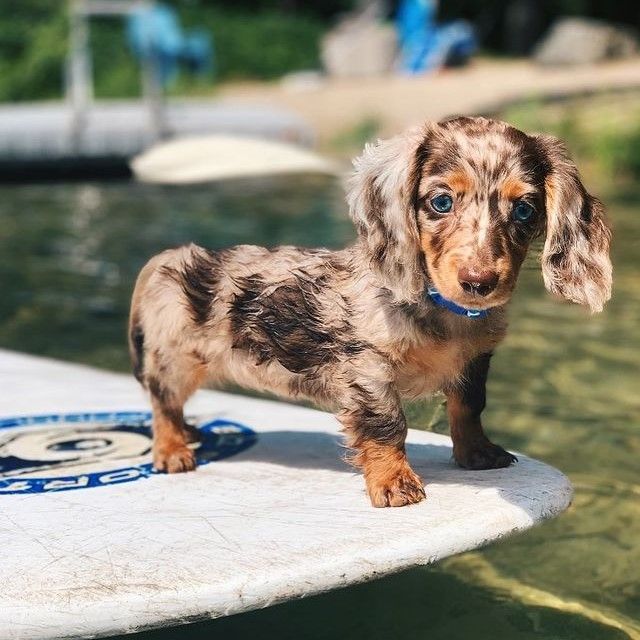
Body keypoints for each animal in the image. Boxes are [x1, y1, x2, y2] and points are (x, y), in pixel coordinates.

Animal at [129, 115, 608, 504]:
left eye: (524, 209)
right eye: (441, 202)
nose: (479, 283)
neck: (441, 310)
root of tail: (167, 258)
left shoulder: (474, 361)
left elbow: (469, 407)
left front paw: (476, 452)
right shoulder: (368, 369)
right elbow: (386, 424)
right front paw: (393, 481)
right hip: (175, 360)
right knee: (163, 404)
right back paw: (173, 449)